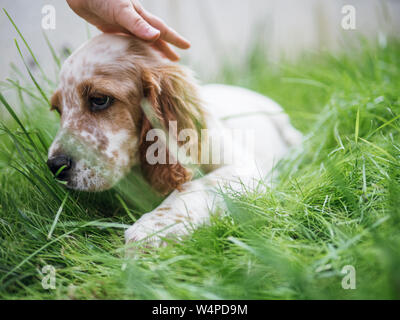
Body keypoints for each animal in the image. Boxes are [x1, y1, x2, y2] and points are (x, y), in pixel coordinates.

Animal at [47, 33, 302, 248]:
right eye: (59, 109)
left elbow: (195, 185)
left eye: (99, 99)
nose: (54, 166)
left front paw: (150, 229)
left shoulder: (243, 168)